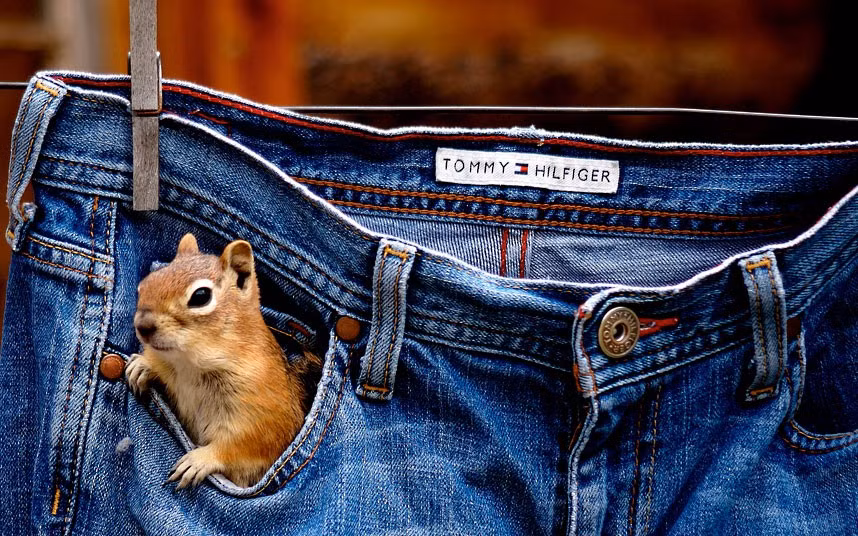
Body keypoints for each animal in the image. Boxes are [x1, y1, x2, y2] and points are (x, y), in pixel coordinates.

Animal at [125, 233, 320, 489]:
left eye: (201, 296)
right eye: (146, 282)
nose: (142, 325)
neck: (191, 365)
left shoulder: (263, 420)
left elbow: (239, 447)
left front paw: (199, 459)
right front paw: (142, 365)